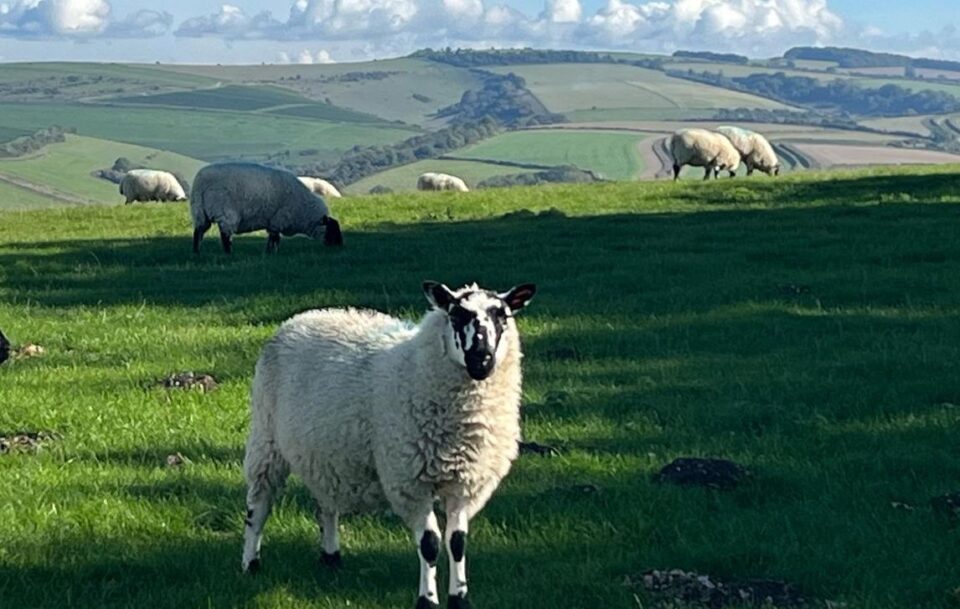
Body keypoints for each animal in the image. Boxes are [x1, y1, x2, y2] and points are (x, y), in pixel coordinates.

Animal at [190, 162, 343, 254]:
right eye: (332, 230)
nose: (340, 246)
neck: (304, 211)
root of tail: (201, 182)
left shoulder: (274, 223)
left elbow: (273, 238)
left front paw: (269, 252)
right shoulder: (279, 220)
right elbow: (275, 239)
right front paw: (272, 252)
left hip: (199, 211)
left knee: (198, 232)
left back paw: (197, 252)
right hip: (225, 212)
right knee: (225, 235)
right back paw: (229, 253)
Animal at [241, 280, 538, 609]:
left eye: (503, 316)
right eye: (456, 315)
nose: (481, 360)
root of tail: (305, 316)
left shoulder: (466, 482)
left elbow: (457, 542)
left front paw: (460, 598)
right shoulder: (410, 481)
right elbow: (430, 543)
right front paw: (427, 600)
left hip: (325, 452)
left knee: (326, 504)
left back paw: (331, 557)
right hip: (266, 438)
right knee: (258, 504)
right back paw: (250, 563)